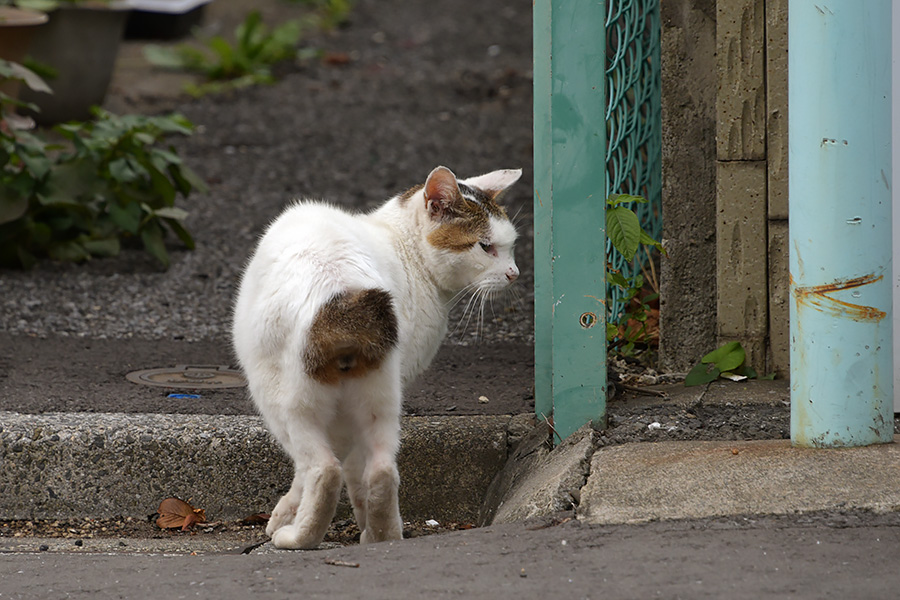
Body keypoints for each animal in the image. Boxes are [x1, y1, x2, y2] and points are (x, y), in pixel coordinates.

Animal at [232, 165, 520, 548]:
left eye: (510, 246)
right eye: (486, 247)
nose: (515, 274)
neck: (405, 248)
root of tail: (340, 289)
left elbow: (314, 470)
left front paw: (283, 514)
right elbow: (356, 469)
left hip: (282, 399)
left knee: (323, 469)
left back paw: (298, 537)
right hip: (380, 395)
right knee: (381, 470)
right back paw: (383, 536)